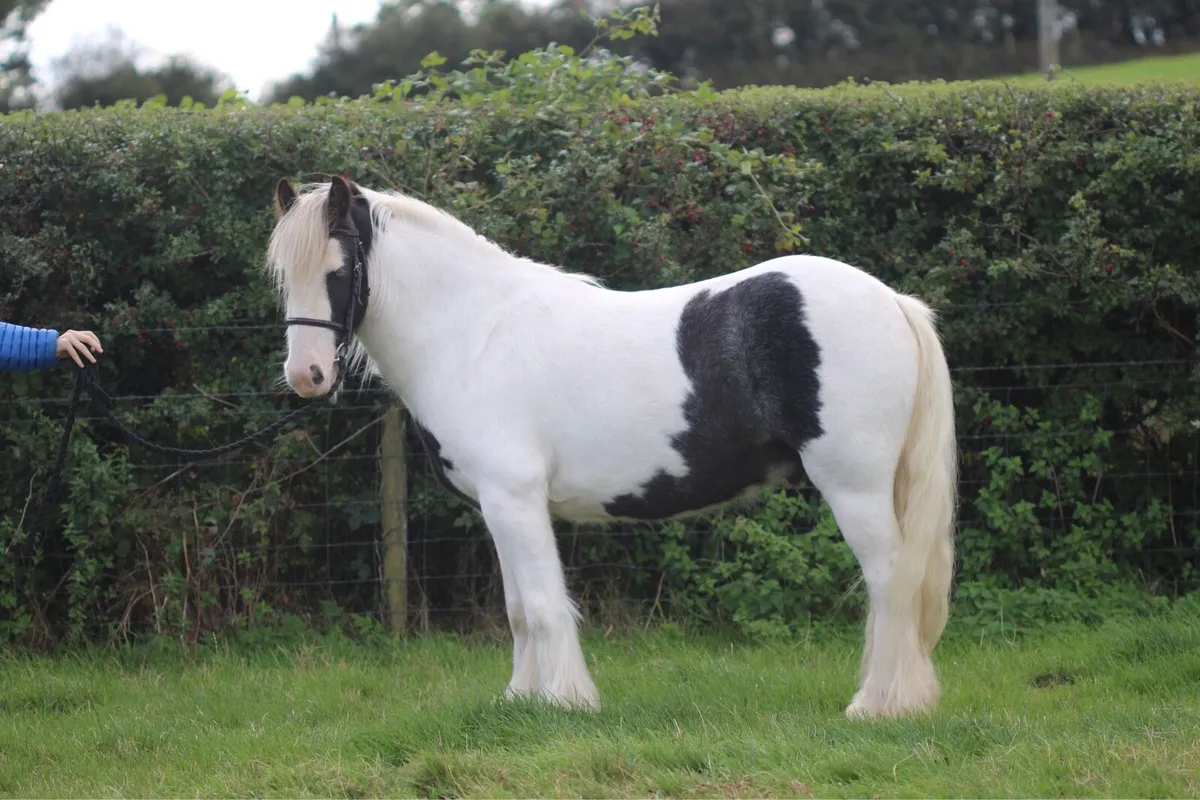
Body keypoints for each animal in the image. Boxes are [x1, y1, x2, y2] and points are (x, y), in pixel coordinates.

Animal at [266, 174, 958, 720]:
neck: (474, 332)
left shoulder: (516, 500)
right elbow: (518, 609)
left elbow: (545, 606)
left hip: (855, 486)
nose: (307, 375)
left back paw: (877, 705)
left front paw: (566, 702)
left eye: (337, 271)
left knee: (890, 579)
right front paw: (520, 700)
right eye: (282, 280)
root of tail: (893, 302)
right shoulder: (498, 506)